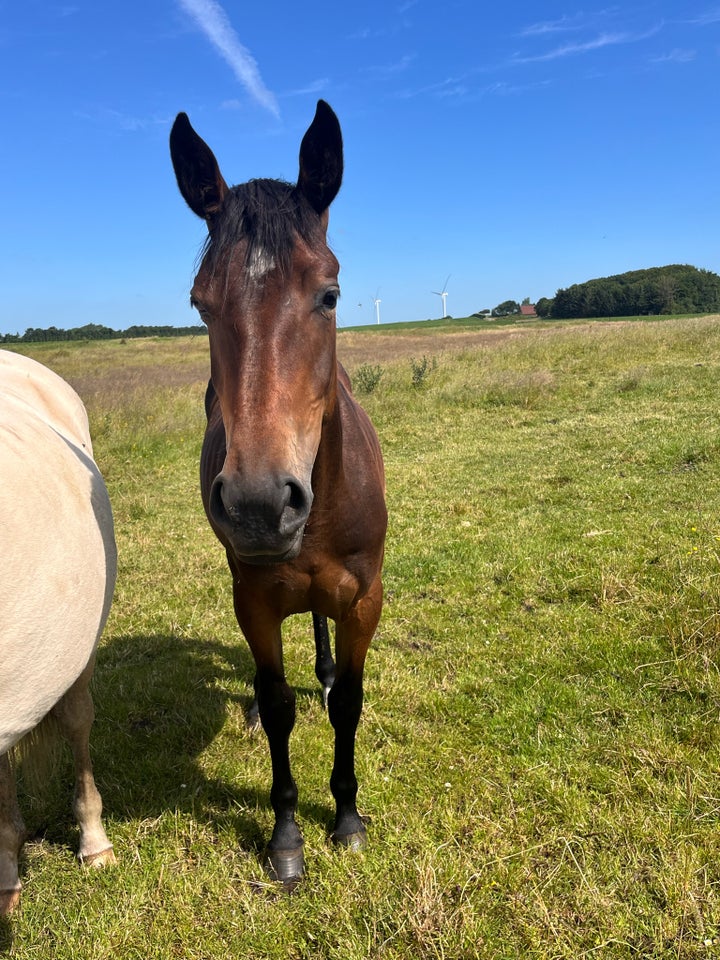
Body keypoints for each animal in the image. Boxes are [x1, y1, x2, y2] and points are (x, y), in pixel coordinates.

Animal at [170, 101, 388, 880]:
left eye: (329, 295)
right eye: (201, 304)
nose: (261, 505)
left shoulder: (364, 596)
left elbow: (348, 702)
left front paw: (347, 817)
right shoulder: (256, 601)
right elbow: (275, 701)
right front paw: (287, 834)